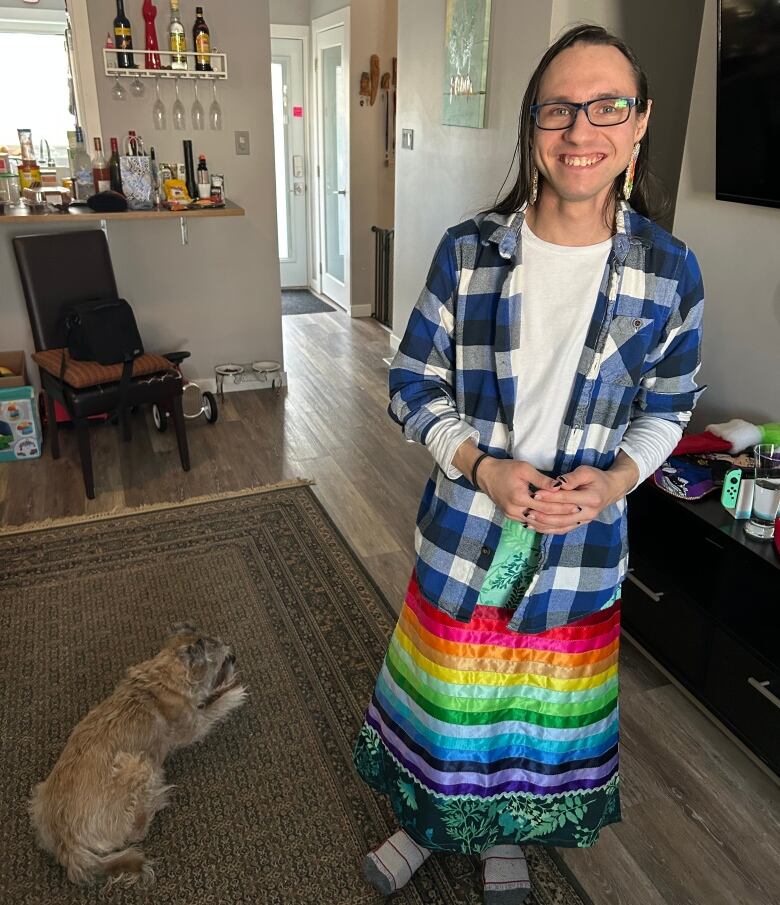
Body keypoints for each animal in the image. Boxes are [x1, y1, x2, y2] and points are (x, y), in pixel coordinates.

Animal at [29, 624, 247, 888]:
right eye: (222, 661)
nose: (234, 656)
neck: (164, 676)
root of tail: (67, 843)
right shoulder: (195, 726)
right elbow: (215, 709)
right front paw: (233, 692)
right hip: (140, 763)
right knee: (136, 832)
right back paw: (156, 798)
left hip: (38, 796)